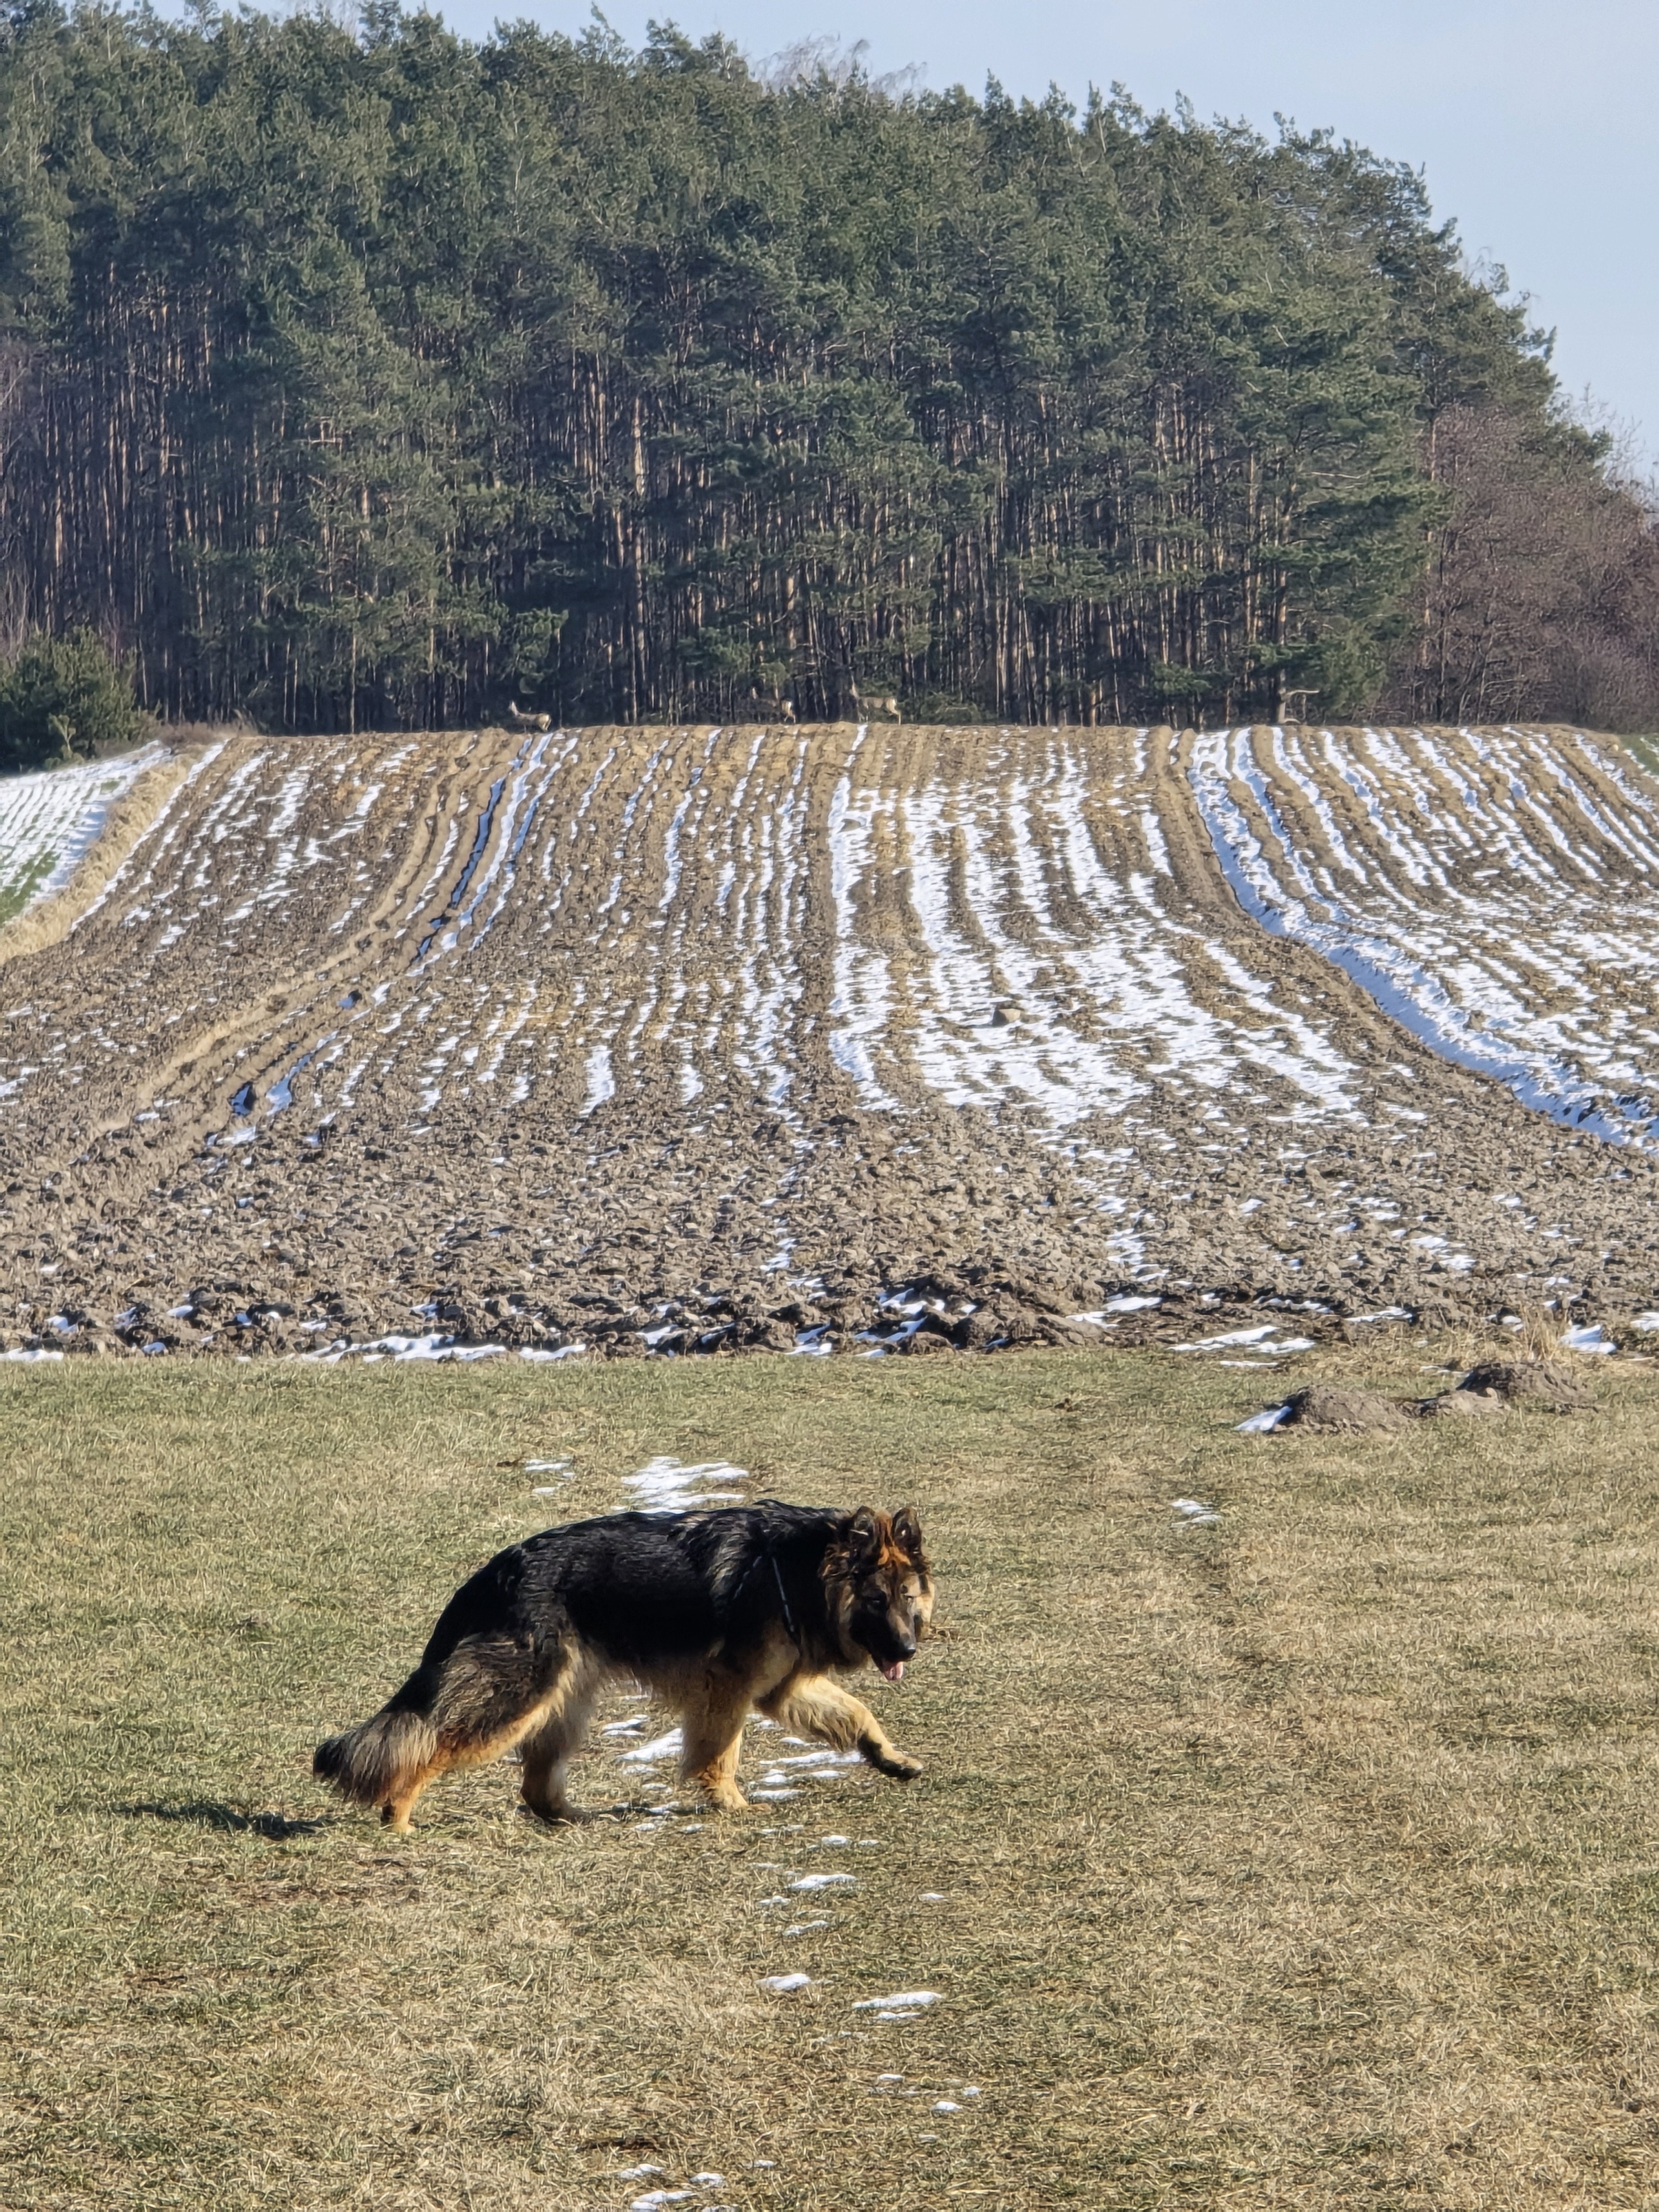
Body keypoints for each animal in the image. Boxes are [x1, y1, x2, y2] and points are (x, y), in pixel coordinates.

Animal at [313, 1501, 933, 1831]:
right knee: (430, 1741)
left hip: (563, 1703)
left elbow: (858, 1711)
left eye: (907, 1598)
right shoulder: (729, 1689)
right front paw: (729, 1802)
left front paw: (891, 1757)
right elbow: (720, 1753)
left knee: (535, 1787)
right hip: (517, 1699)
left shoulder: (777, 1690)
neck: (796, 1569)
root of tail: (494, 1572)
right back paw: (397, 1817)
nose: (908, 1651)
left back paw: (576, 1819)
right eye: (876, 1600)